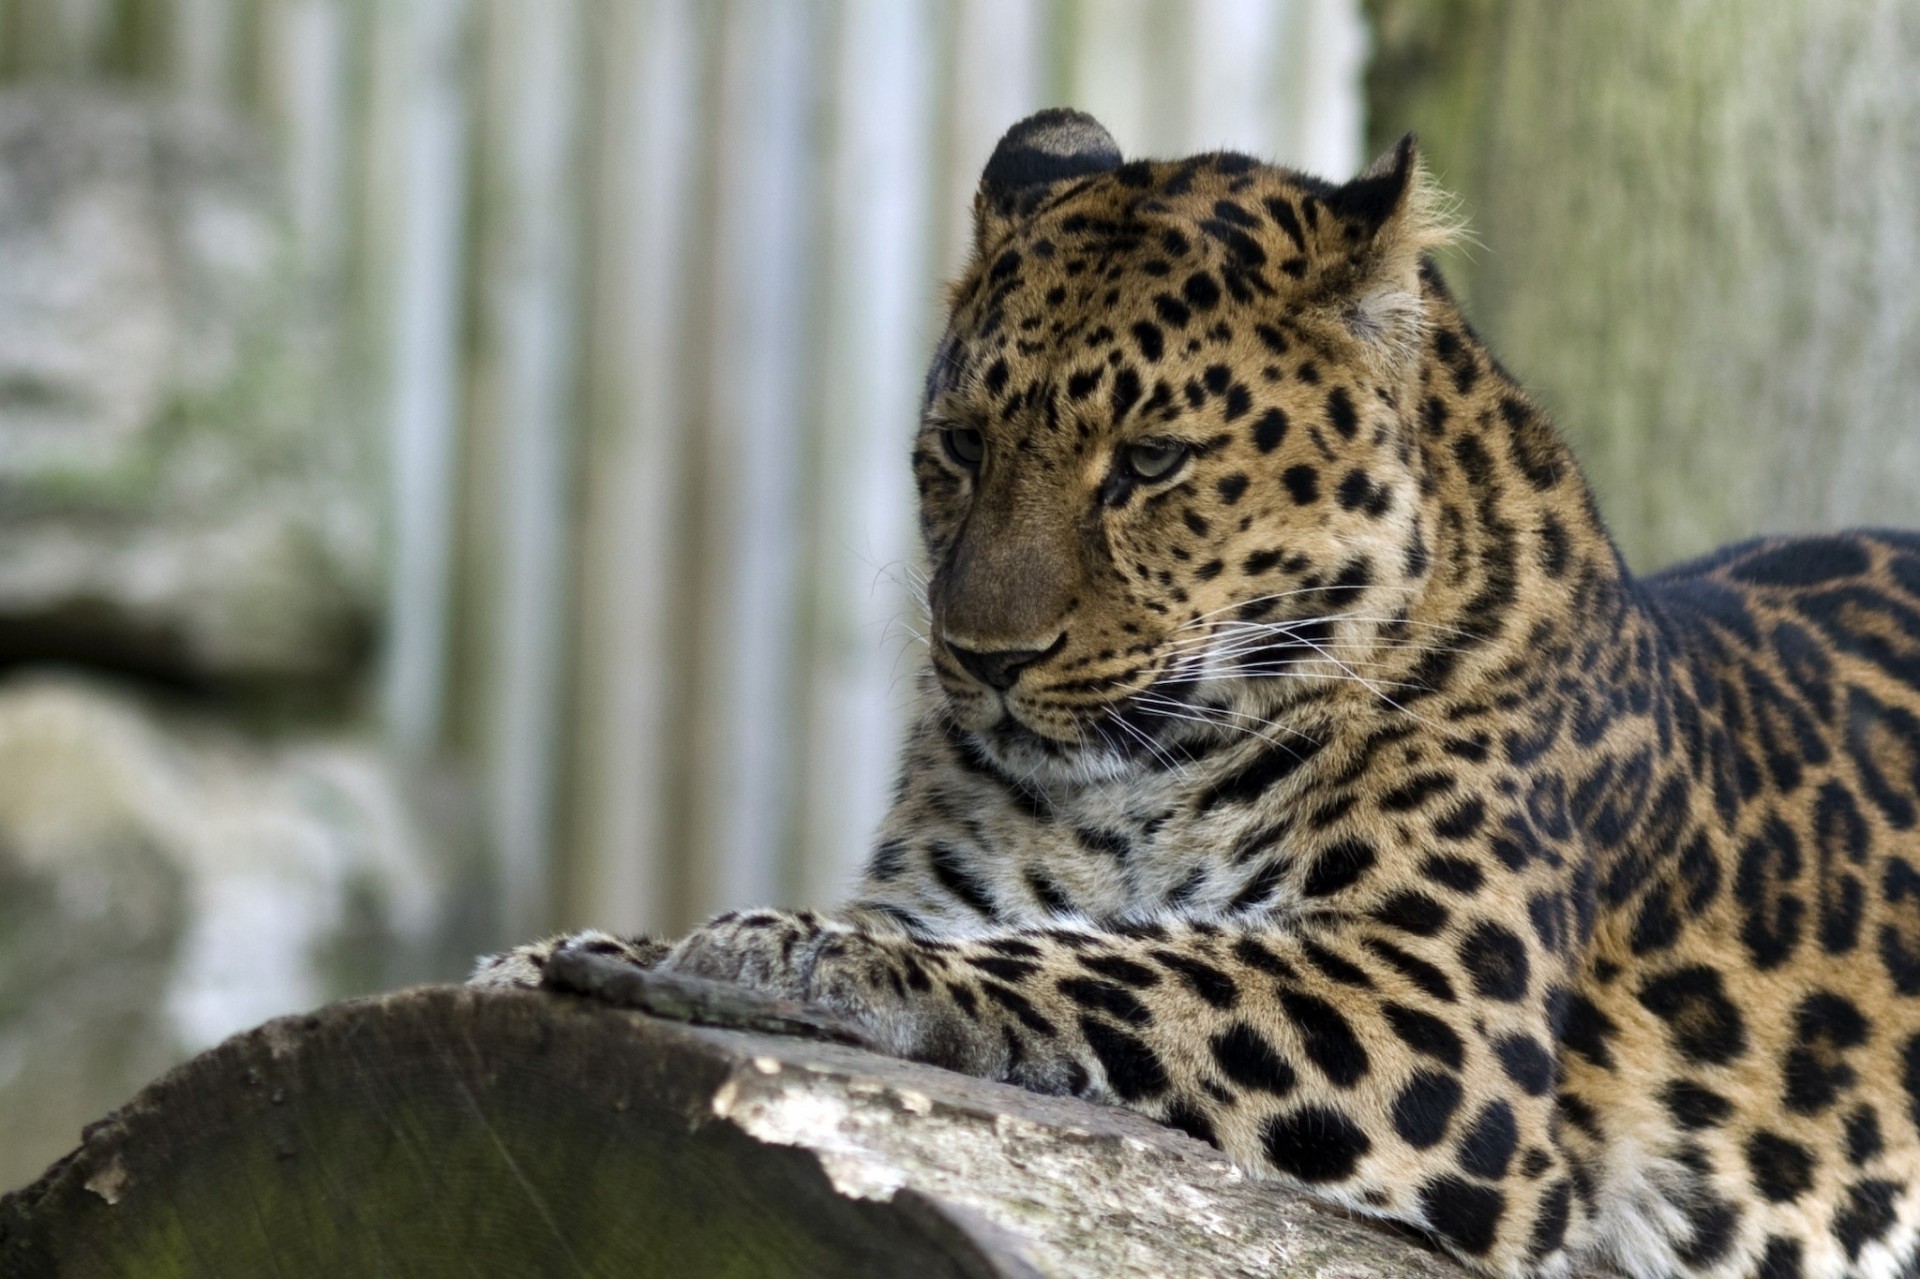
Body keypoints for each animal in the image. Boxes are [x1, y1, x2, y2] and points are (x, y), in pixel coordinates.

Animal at [473, 108, 1920, 1279]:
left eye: (1152, 461)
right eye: (961, 447)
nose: (984, 655)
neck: (1136, 777)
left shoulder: (1438, 996)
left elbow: (1117, 961)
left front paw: (792, 953)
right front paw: (568, 952)